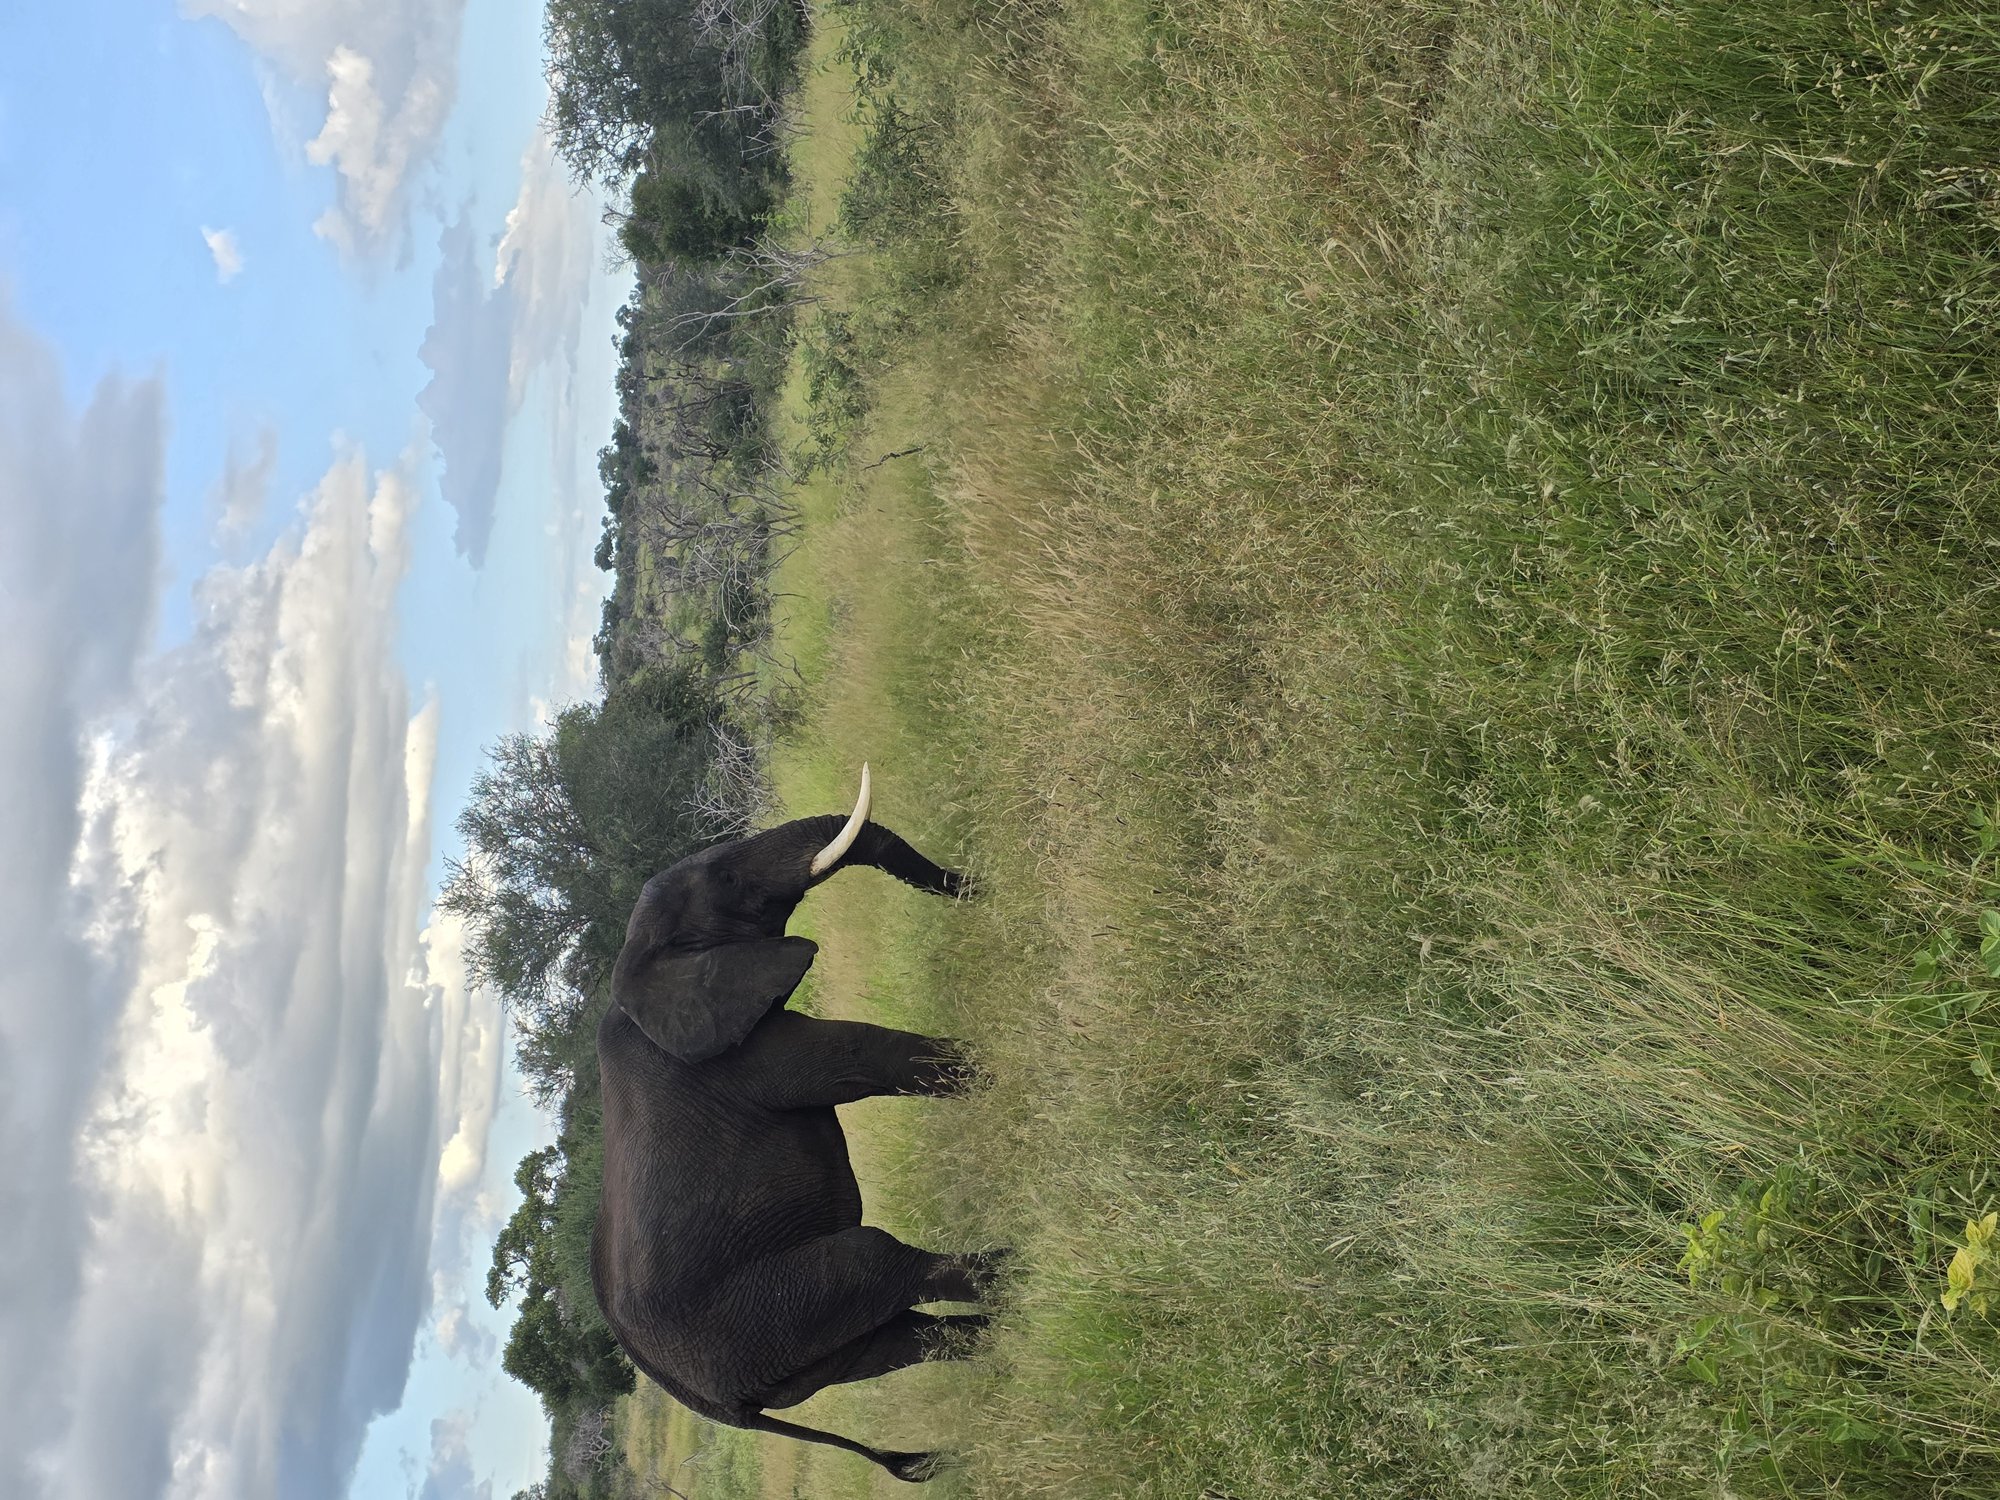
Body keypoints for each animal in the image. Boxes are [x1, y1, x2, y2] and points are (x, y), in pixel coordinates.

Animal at [590, 766, 1003, 1482]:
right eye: (727, 880)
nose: (982, 885)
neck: (636, 961)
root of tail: (716, 1406)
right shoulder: (737, 1054)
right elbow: (864, 1058)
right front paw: (1019, 1062)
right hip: (763, 1311)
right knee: (879, 1268)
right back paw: (1018, 1280)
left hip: (786, 1345)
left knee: (892, 1342)